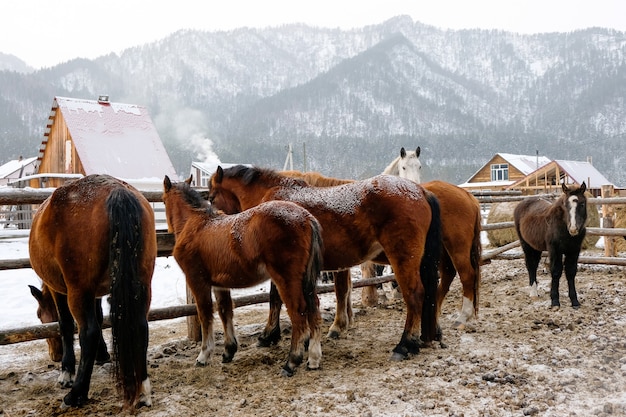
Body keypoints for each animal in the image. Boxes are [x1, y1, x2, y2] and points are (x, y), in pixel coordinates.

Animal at [28, 174, 156, 408]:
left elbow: (66, 325)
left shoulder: (61, 290)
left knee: (88, 332)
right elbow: (99, 315)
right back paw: (143, 389)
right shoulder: (96, 292)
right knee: (141, 326)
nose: (54, 355)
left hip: (78, 291)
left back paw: (76, 394)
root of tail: (117, 191)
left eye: (40, 316)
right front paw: (103, 354)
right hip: (142, 284)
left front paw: (67, 372)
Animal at [161, 175, 324, 374]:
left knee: (298, 311)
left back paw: (291, 362)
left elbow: (205, 314)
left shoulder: (197, 281)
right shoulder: (220, 284)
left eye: (162, 200)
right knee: (313, 307)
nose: (168, 230)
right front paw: (228, 351)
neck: (196, 224)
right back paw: (314, 359)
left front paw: (204, 355)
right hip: (304, 279)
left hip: (286, 279)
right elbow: (225, 311)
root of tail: (307, 218)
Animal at [207, 164, 442, 360]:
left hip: (402, 260)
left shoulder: (281, 269)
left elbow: (275, 299)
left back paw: (405, 345)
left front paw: (268, 335)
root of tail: (420, 191)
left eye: (210, 197)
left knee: (415, 295)